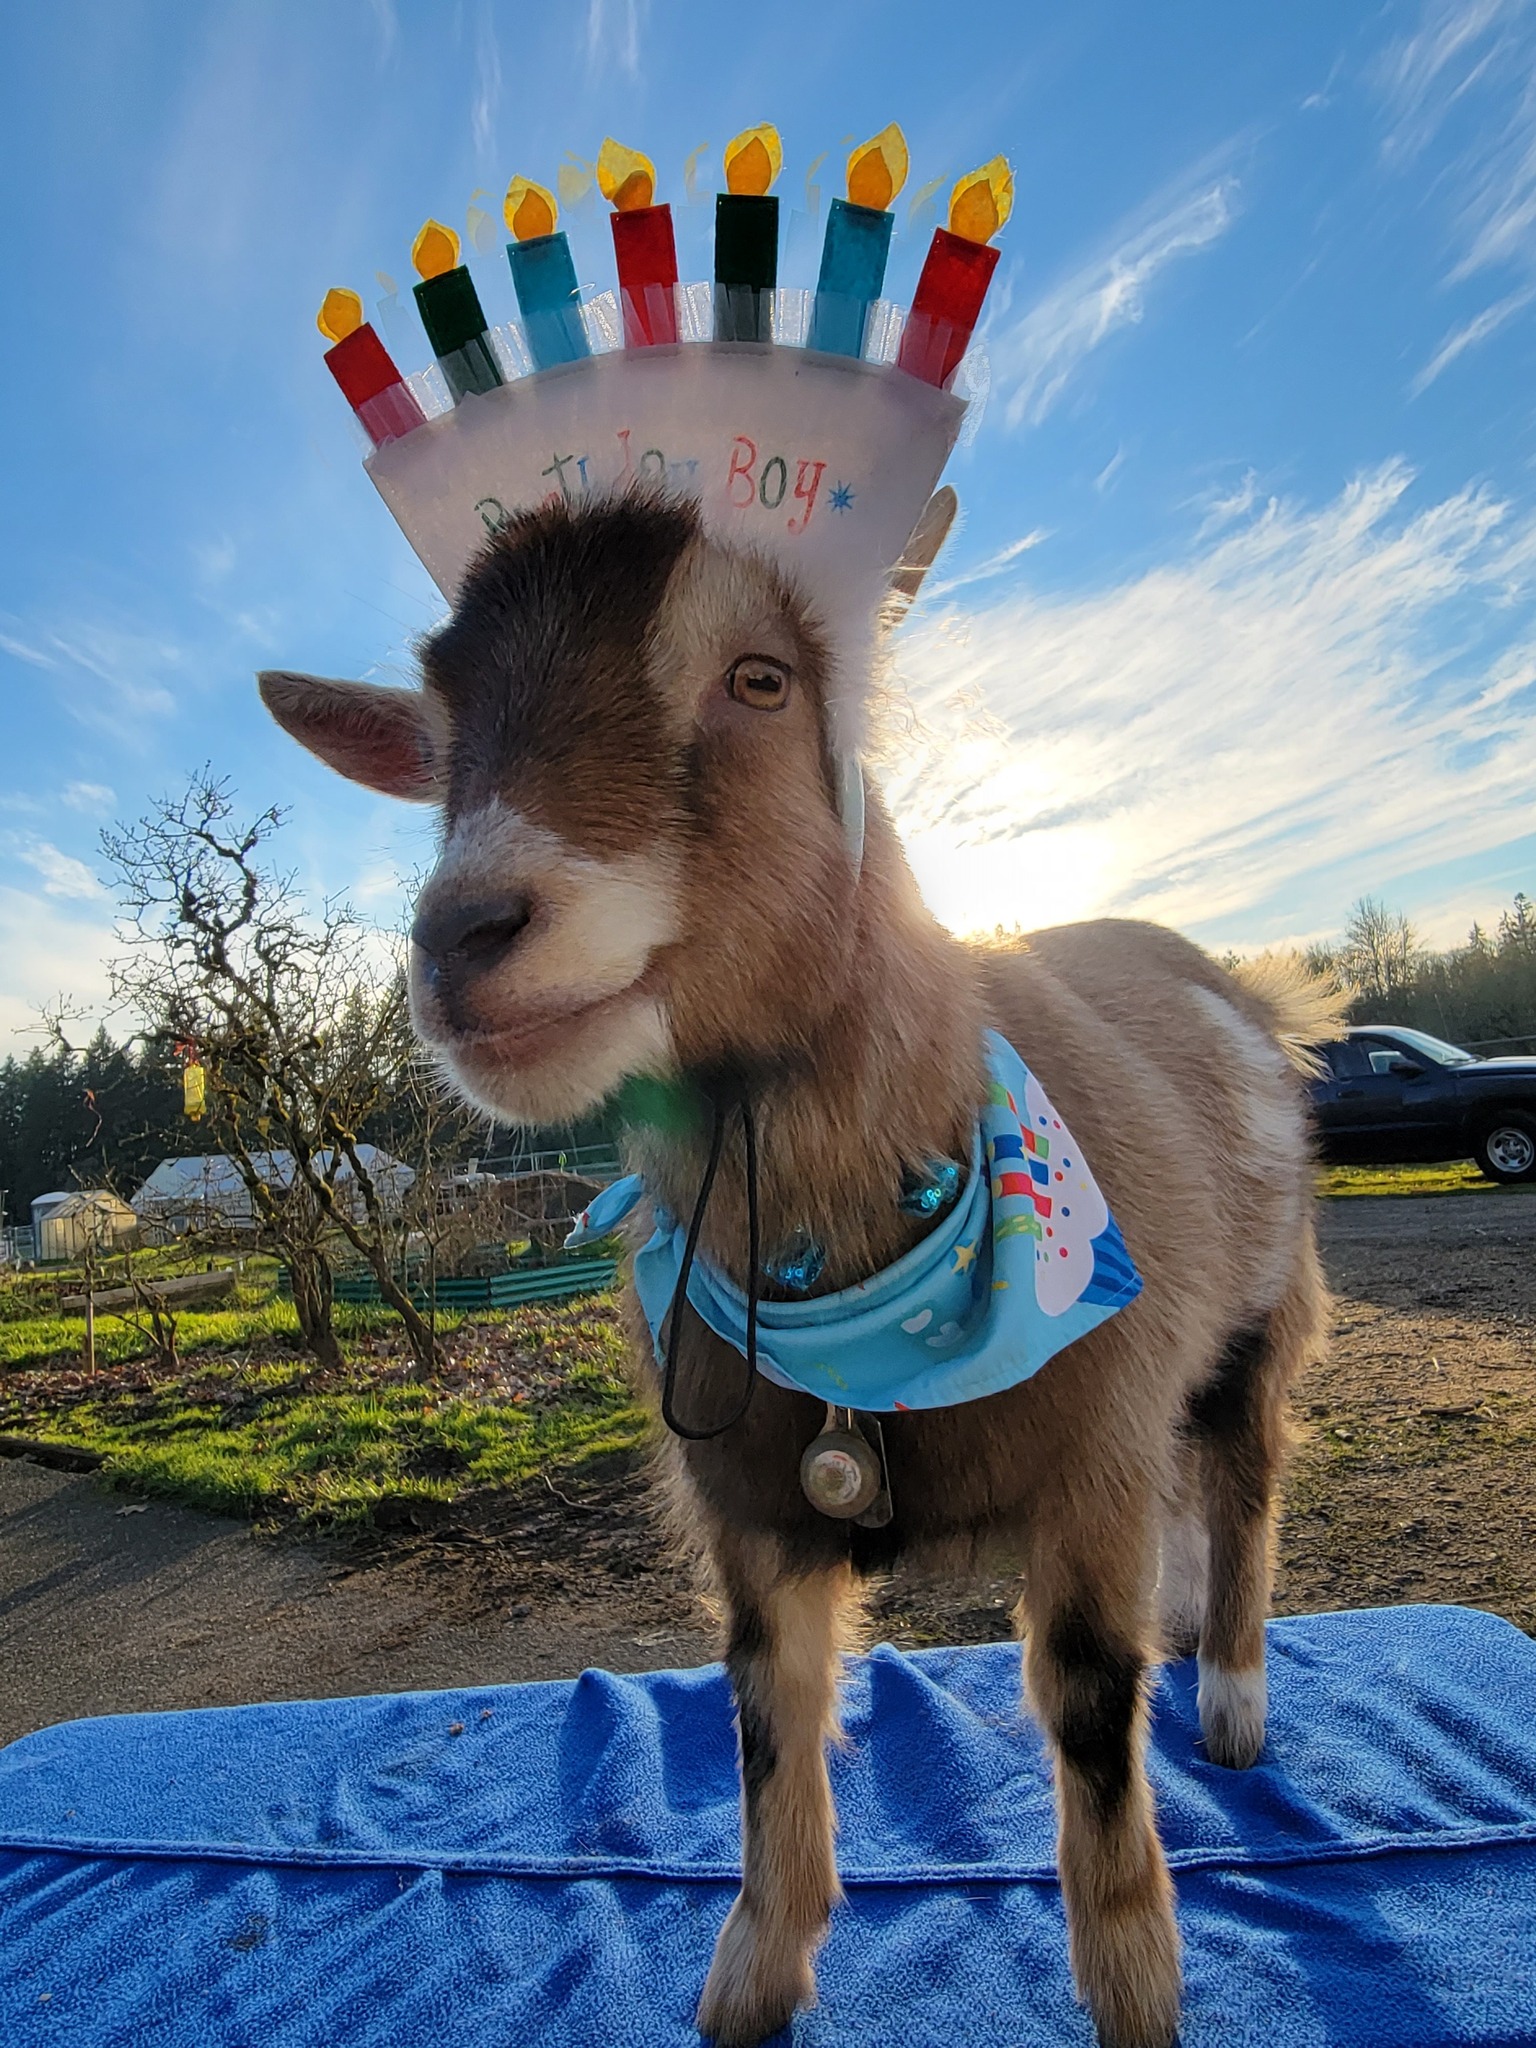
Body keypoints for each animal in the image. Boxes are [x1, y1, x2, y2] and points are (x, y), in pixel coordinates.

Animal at [260, 490, 1340, 2048]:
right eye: (440, 734)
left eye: (760, 677)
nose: (463, 936)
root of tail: (1243, 987)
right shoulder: (751, 1508)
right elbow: (769, 1724)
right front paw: (749, 1985)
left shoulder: (1091, 1459)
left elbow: (1088, 1713)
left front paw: (1140, 1994)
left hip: (1264, 1311)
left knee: (1247, 1473)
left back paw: (1236, 1697)